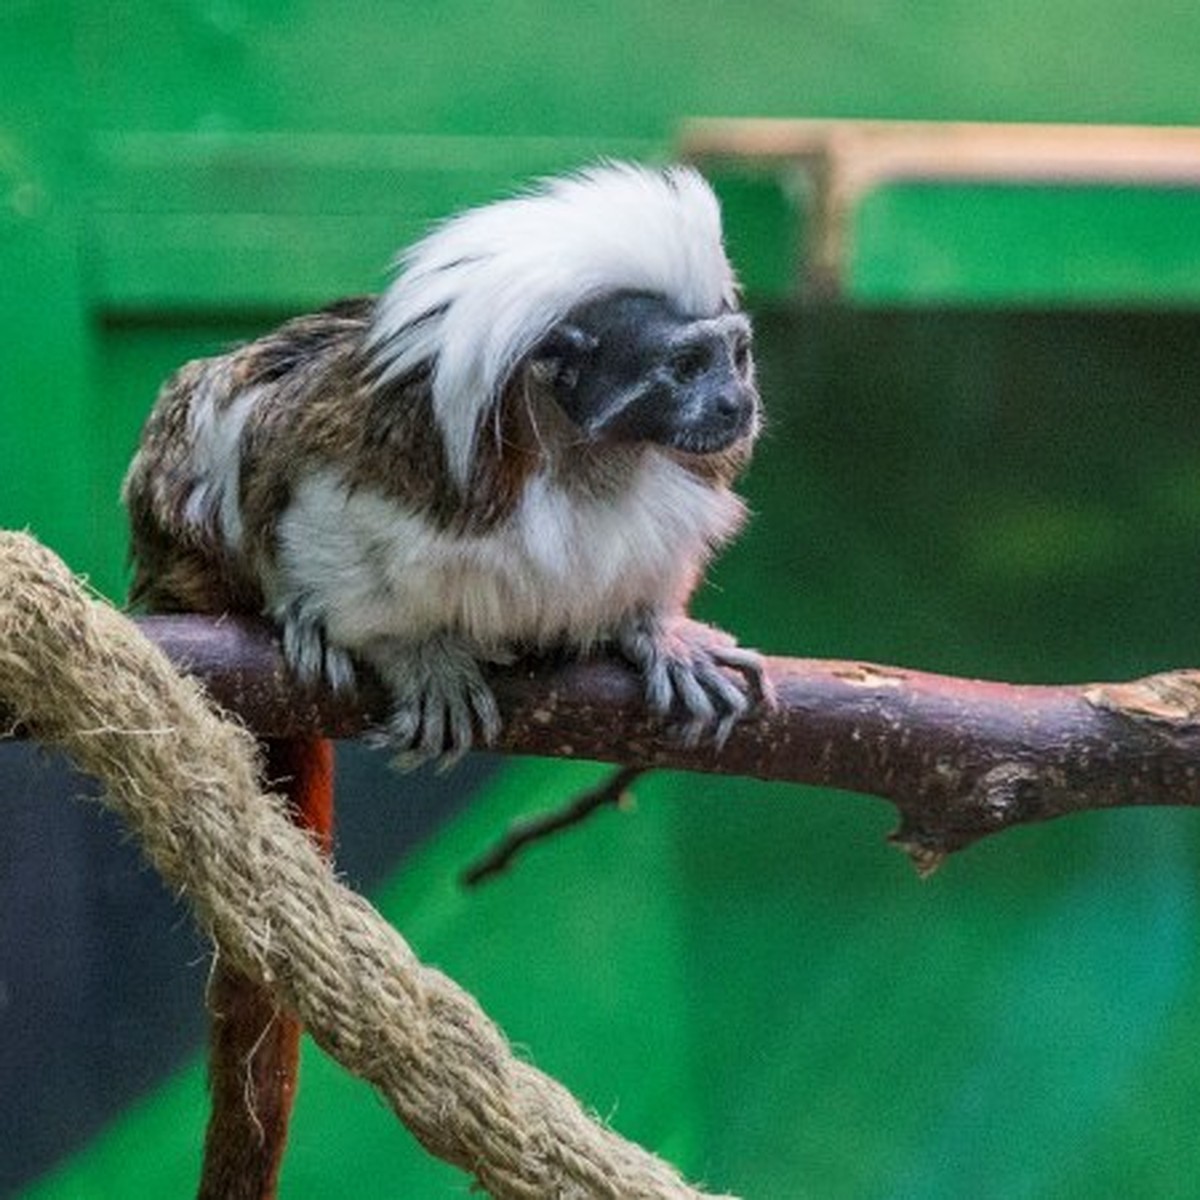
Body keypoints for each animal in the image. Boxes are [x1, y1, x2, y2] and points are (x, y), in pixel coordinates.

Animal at [124, 162, 768, 758]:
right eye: (686, 366)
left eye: (736, 355)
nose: (738, 403)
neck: (579, 458)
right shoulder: (399, 450)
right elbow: (296, 483)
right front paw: (411, 650)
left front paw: (655, 631)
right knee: (230, 404)